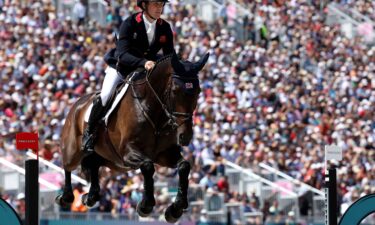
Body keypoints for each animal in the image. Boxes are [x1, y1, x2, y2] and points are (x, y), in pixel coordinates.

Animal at [54, 53, 210, 223]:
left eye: (199, 91)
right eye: (175, 90)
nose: (185, 136)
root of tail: (77, 104)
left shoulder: (164, 154)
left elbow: (184, 166)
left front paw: (175, 210)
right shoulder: (129, 152)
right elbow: (148, 166)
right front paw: (145, 206)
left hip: (111, 161)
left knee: (94, 165)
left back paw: (90, 197)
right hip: (74, 150)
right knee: (68, 166)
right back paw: (66, 197)